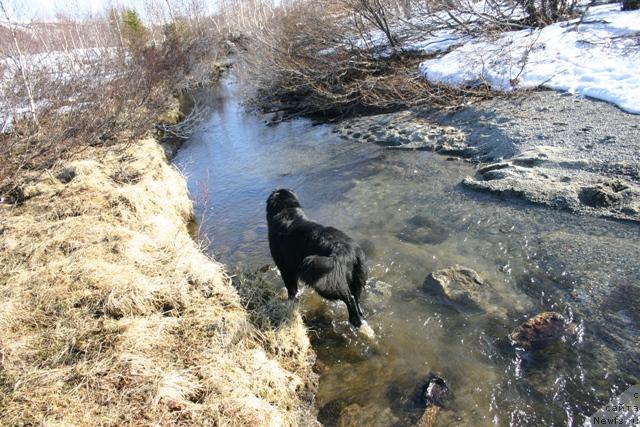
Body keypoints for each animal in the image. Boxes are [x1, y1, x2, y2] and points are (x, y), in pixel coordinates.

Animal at [264, 188, 368, 328]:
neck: (287, 213)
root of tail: (348, 251)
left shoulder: (285, 268)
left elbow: (291, 289)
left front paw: (289, 302)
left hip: (325, 282)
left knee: (349, 297)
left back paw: (354, 321)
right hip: (357, 275)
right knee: (356, 296)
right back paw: (360, 315)